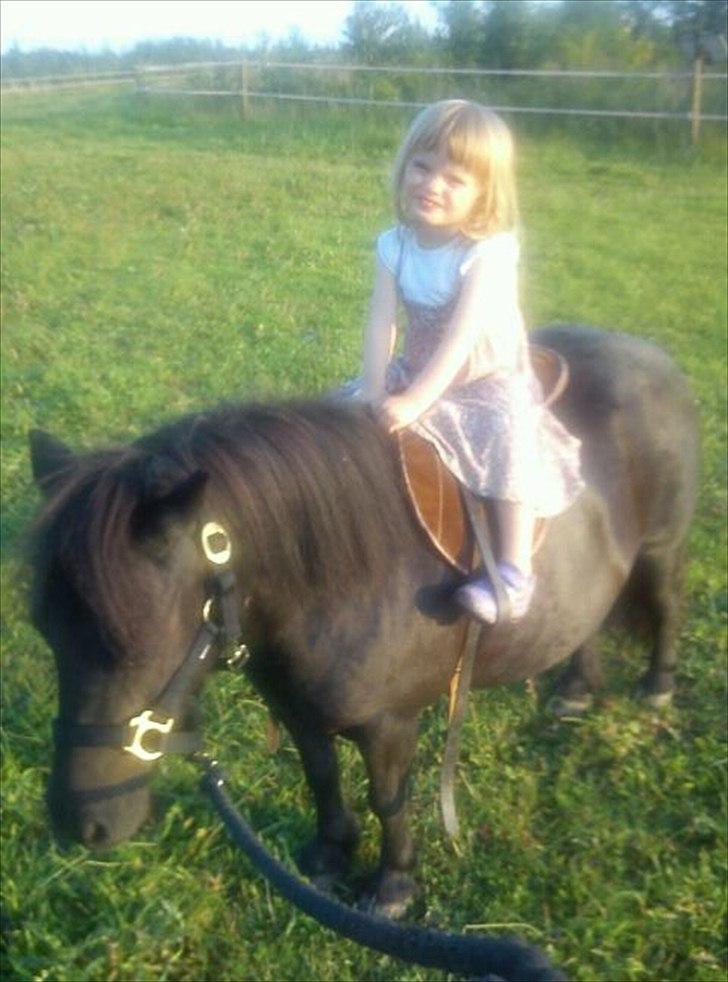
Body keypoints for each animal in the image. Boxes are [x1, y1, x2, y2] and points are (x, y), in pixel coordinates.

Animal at [28, 325, 698, 934]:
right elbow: (322, 777)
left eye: (138, 644)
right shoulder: (297, 708)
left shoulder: (389, 724)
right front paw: (329, 856)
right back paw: (576, 690)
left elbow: (388, 798)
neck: (334, 581)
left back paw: (658, 686)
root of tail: (650, 354)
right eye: (47, 632)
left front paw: (394, 884)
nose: (78, 824)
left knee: (667, 606)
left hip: (661, 547)